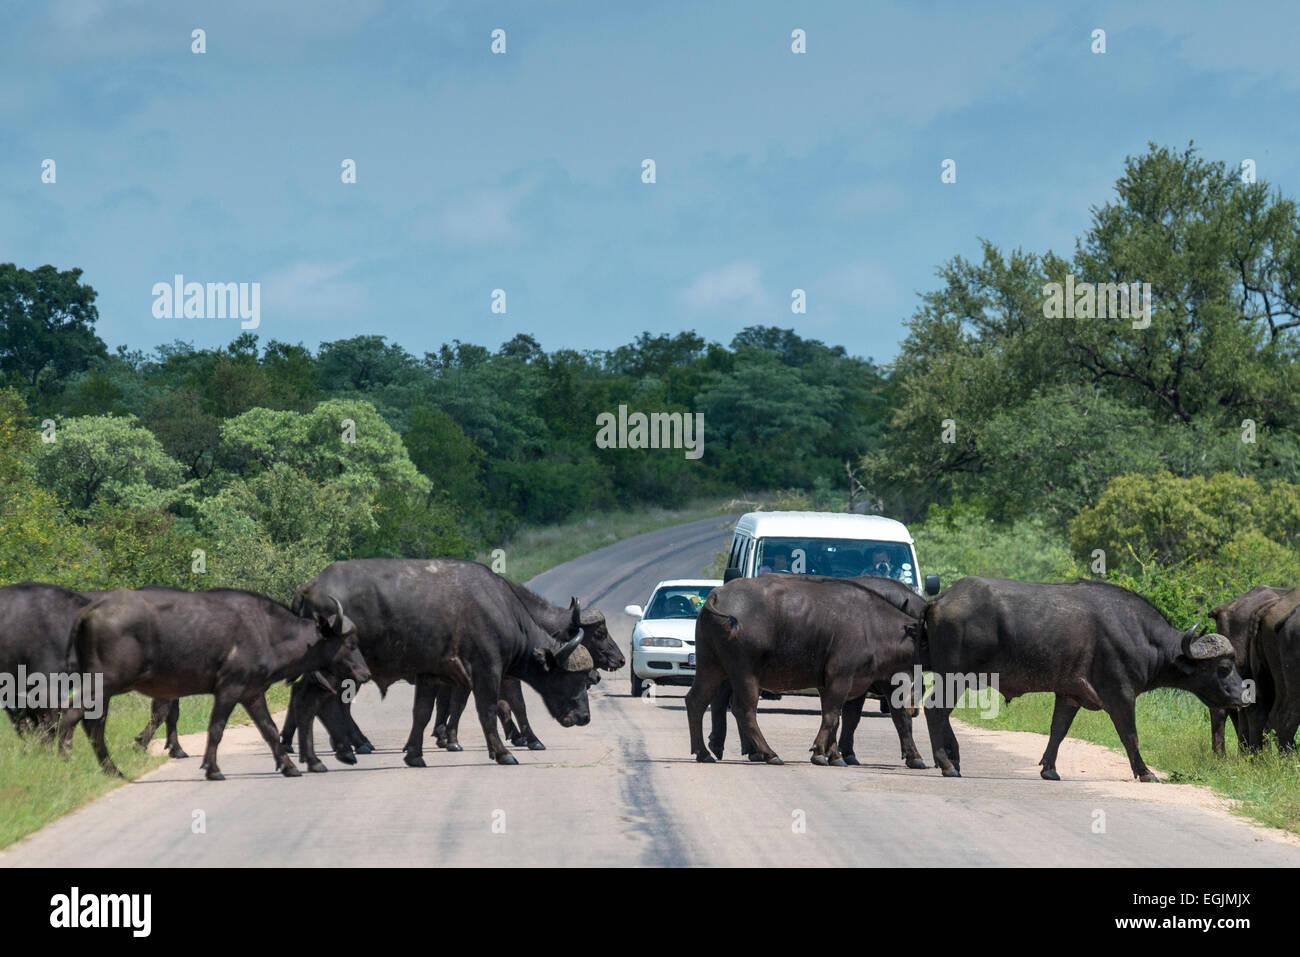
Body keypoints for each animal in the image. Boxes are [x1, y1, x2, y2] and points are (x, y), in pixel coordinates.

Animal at [58, 587, 369, 780]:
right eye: (350, 643)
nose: (365, 674)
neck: (267, 632)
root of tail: (91, 610)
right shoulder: (229, 690)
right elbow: (216, 729)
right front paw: (213, 768)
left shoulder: (253, 693)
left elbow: (269, 730)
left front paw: (289, 766)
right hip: (103, 683)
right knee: (73, 715)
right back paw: (66, 761)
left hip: (104, 689)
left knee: (93, 724)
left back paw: (112, 770)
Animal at [691, 572, 925, 764]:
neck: (873, 625)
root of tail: (717, 595)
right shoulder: (842, 678)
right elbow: (837, 716)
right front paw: (826, 754)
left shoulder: (856, 683)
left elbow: (896, 719)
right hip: (745, 672)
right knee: (742, 709)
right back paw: (767, 753)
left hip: (710, 665)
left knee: (698, 700)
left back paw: (705, 752)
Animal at [920, 579, 1242, 780]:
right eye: (1224, 667)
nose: (1245, 696)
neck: (1141, 637)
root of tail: (939, 599)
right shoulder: (1120, 695)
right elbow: (1130, 735)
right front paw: (1146, 772)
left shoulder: (1070, 695)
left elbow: (1058, 731)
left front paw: (1049, 768)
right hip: (954, 677)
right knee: (935, 711)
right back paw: (947, 764)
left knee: (940, 714)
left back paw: (952, 759)